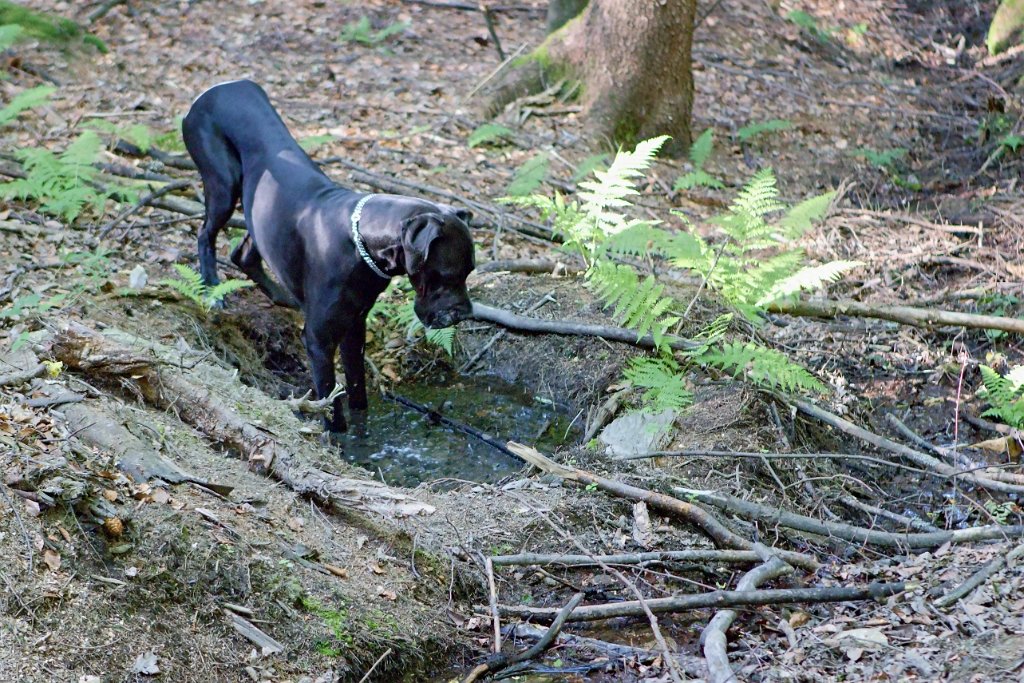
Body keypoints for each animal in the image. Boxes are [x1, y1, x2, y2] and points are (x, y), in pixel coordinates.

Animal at [182, 80, 473, 432]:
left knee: (243, 252)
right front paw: (339, 438)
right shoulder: (319, 340)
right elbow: (330, 402)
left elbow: (357, 390)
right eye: (447, 275)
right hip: (223, 185)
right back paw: (213, 288)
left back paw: (281, 295)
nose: (465, 314)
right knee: (205, 235)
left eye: (470, 272)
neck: (360, 243)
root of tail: (216, 89)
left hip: (259, 215)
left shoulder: (354, 329)